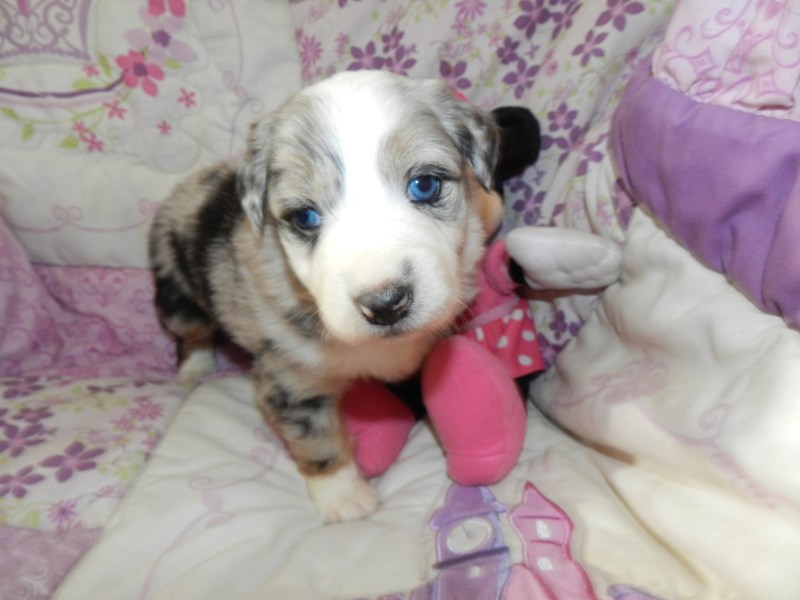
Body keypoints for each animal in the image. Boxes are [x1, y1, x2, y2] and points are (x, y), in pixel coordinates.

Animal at [148, 70, 500, 522]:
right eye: (305, 216)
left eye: (425, 185)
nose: (386, 304)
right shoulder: (290, 381)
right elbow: (317, 441)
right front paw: (344, 497)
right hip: (175, 287)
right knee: (191, 330)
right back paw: (195, 367)